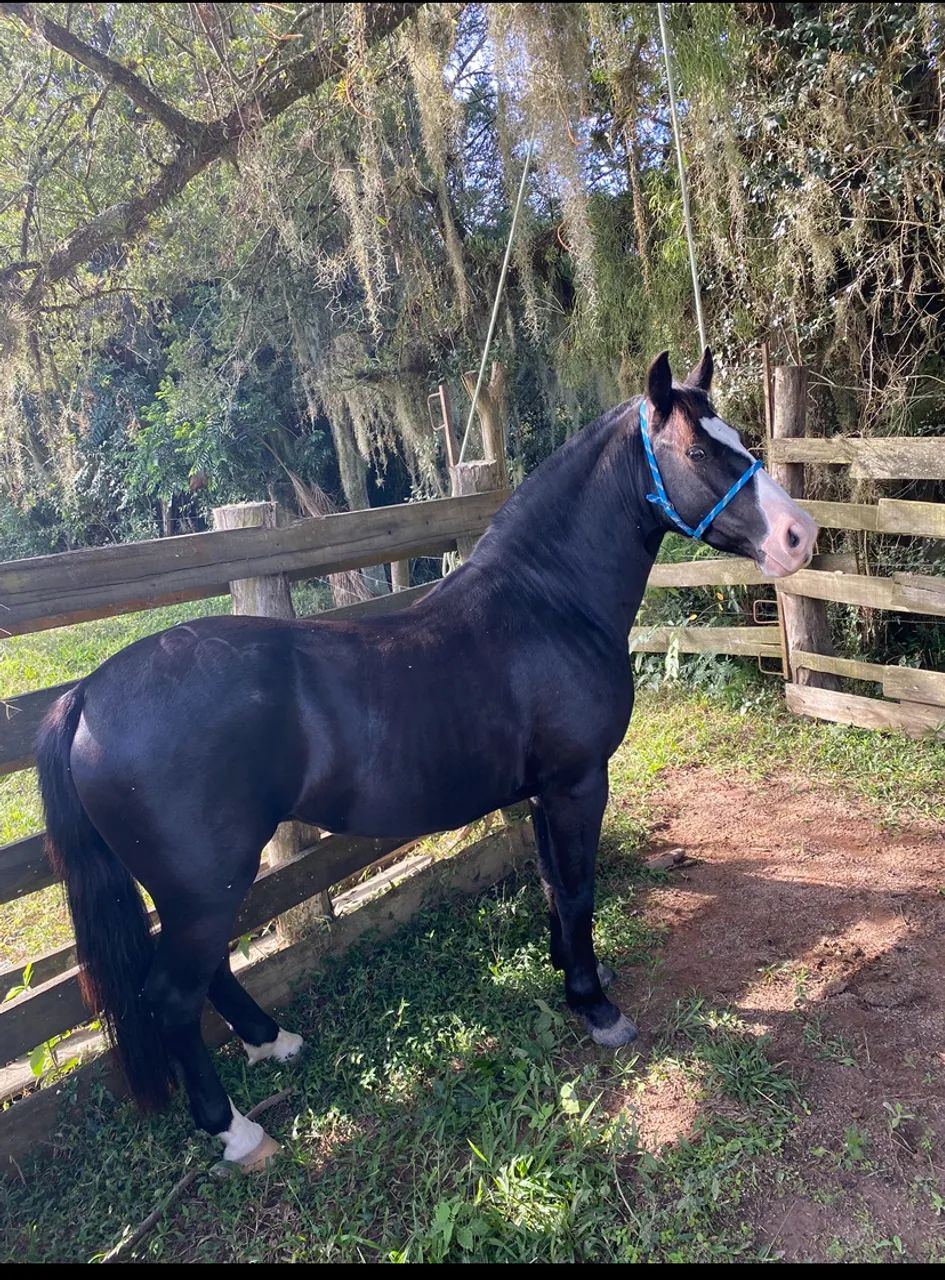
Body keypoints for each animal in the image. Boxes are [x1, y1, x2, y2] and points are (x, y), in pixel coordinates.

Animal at [37, 349, 817, 1171]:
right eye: (696, 451)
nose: (800, 534)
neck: (546, 605)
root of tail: (87, 696)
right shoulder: (577, 784)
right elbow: (577, 889)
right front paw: (598, 1008)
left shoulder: (543, 791)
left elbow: (552, 884)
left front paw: (573, 976)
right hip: (205, 886)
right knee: (172, 998)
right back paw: (236, 1130)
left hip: (196, 888)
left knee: (208, 972)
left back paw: (274, 1042)